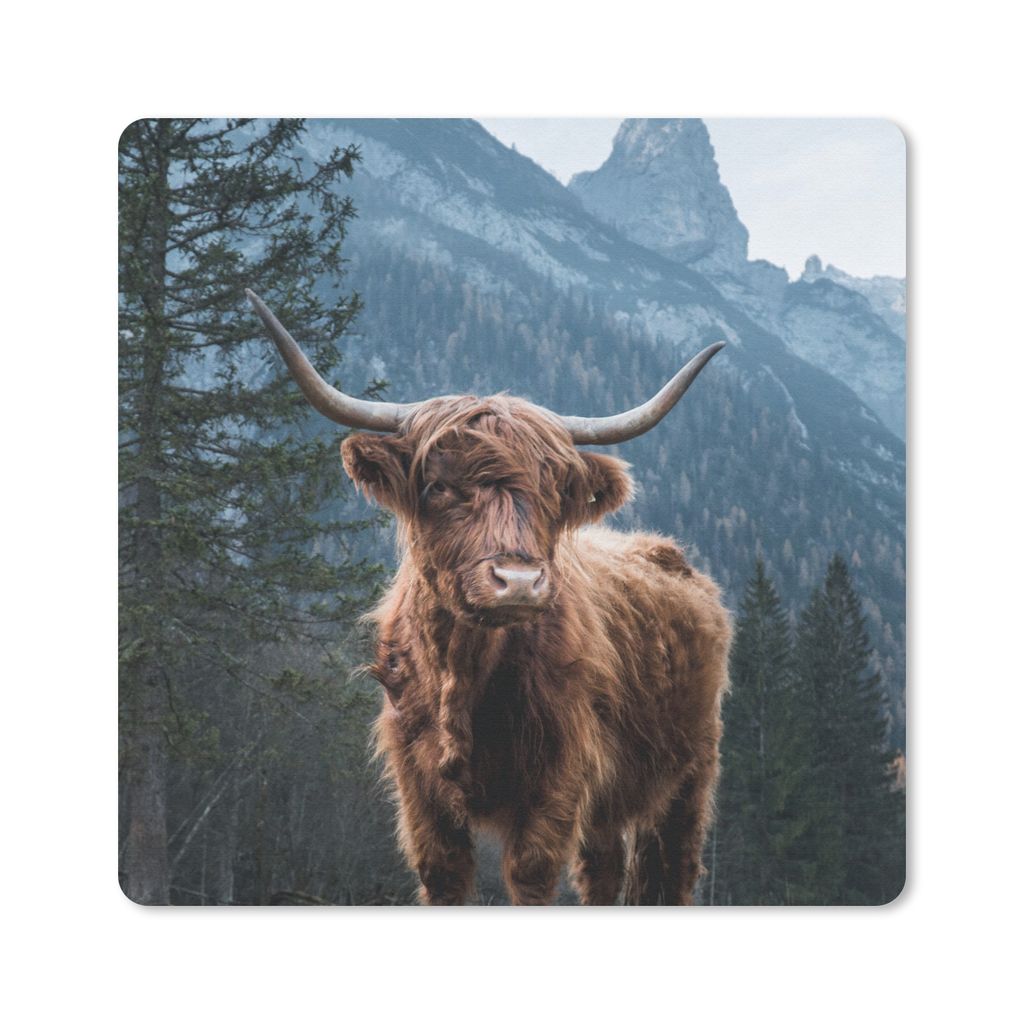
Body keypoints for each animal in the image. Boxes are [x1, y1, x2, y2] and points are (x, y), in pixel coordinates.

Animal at [247, 290, 732, 905]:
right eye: (438, 486)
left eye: (553, 492)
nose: (518, 581)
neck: (464, 672)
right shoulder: (419, 789)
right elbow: (445, 875)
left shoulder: (557, 779)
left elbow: (530, 875)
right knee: (603, 871)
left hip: (689, 774)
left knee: (669, 872)